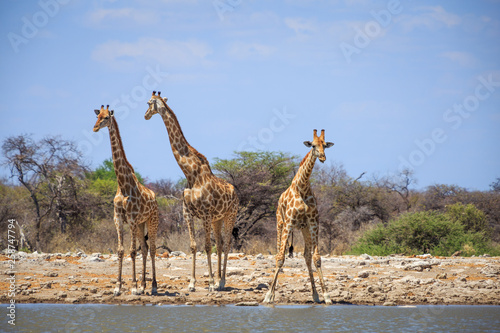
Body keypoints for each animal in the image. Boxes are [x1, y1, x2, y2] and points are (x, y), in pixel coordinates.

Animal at [92, 104, 158, 296]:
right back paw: (144, 285)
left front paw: (134, 286)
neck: (122, 184)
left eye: (106, 117)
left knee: (152, 249)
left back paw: (153, 286)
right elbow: (121, 251)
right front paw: (118, 287)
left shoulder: (132, 218)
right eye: (97, 116)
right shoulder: (119, 218)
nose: (95, 128)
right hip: (141, 224)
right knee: (145, 248)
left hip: (152, 221)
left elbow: (132, 251)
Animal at [145, 91, 238, 290]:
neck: (190, 173)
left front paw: (209, 283)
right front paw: (193, 283)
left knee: (226, 243)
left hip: (230, 214)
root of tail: (235, 192)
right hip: (218, 219)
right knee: (220, 243)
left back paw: (221, 281)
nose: (146, 115)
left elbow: (207, 246)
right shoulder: (188, 211)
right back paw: (219, 280)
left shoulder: (206, 213)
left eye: (149, 103)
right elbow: (194, 246)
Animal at [264, 129, 334, 304]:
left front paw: (326, 296)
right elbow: (280, 258)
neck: (302, 186)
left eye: (325, 145)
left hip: (304, 229)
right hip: (280, 224)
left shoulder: (314, 223)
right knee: (278, 253)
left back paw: (315, 295)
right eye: (313, 145)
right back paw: (272, 295)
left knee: (306, 256)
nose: (322, 158)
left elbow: (316, 258)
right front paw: (268, 296)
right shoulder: (289, 222)